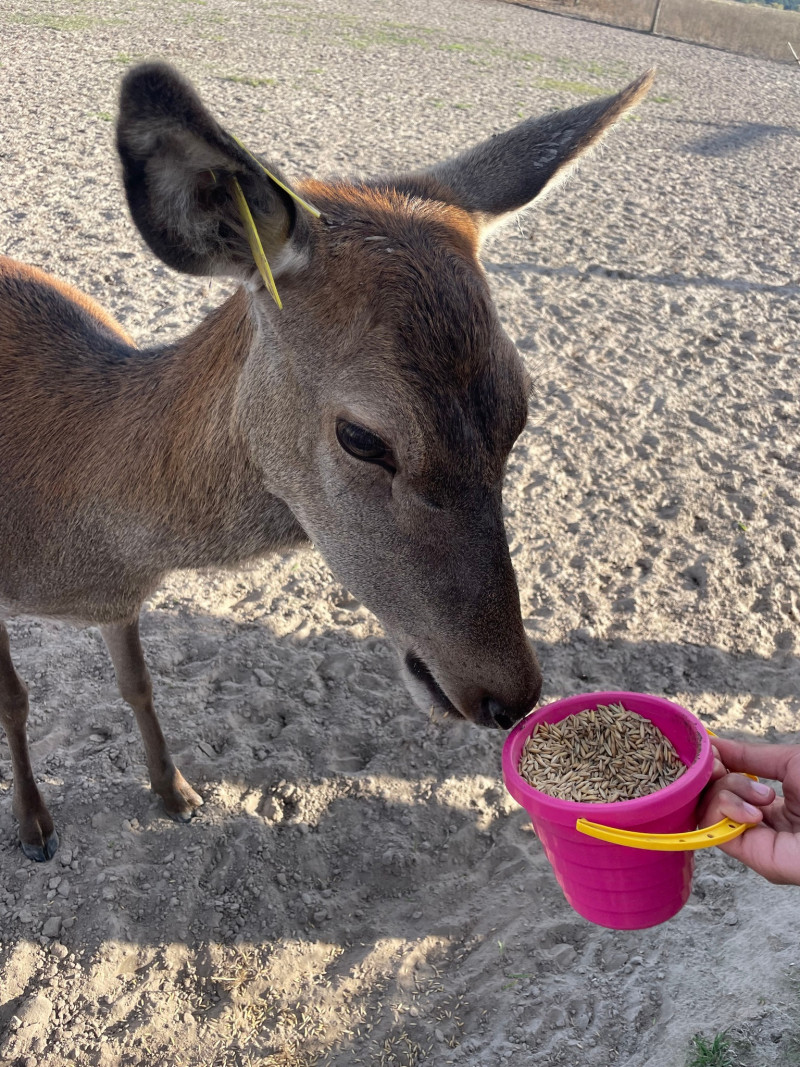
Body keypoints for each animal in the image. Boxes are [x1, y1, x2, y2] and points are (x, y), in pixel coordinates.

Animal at [0, 62, 652, 857]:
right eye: (364, 438)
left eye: (521, 411)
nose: (512, 694)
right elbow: (15, 698)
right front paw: (34, 824)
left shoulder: (121, 603)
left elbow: (138, 684)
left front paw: (176, 791)